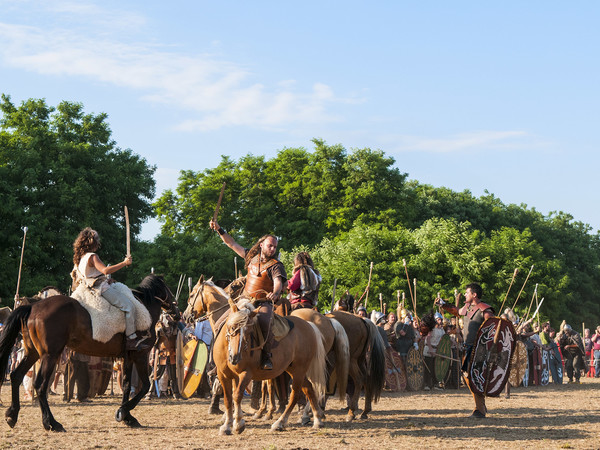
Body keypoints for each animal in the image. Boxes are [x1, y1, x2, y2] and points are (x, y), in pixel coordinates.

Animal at [0, 272, 178, 430]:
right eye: (168, 288)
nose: (176, 312)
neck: (143, 307)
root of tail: (33, 306)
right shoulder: (141, 355)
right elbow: (145, 385)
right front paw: (123, 411)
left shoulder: (127, 357)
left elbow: (127, 385)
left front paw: (127, 417)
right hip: (50, 356)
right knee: (40, 385)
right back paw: (51, 423)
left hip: (33, 353)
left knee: (16, 376)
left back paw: (12, 415)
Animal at [184, 280, 328, 434]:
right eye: (230, 328)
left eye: (249, 331)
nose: (186, 316)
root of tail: (310, 325)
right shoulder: (225, 374)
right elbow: (229, 398)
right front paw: (228, 423)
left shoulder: (246, 373)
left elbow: (237, 395)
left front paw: (238, 423)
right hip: (293, 369)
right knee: (308, 388)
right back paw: (316, 418)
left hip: (299, 370)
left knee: (295, 395)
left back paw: (280, 422)